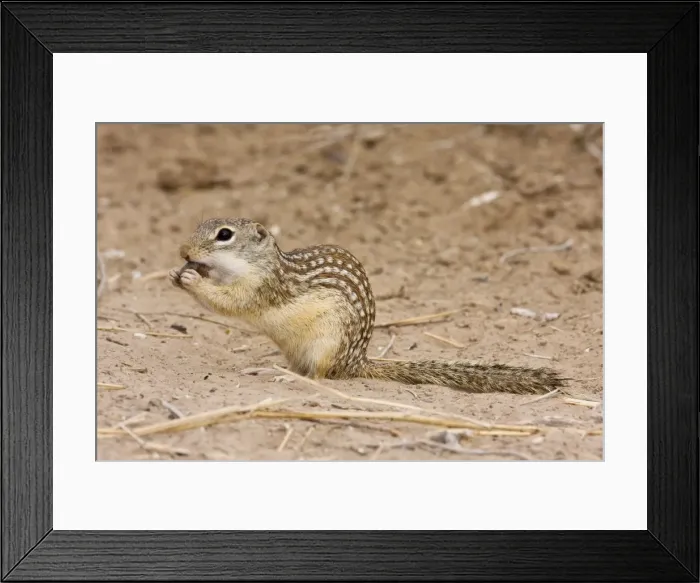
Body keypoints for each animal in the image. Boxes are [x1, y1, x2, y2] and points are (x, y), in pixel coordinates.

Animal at [169, 217, 567, 395]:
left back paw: (282, 376)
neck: (261, 263)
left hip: (326, 343)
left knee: (318, 377)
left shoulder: (260, 288)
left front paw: (192, 280)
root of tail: (355, 362)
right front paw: (180, 273)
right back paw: (264, 369)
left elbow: (231, 302)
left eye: (224, 235)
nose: (184, 252)